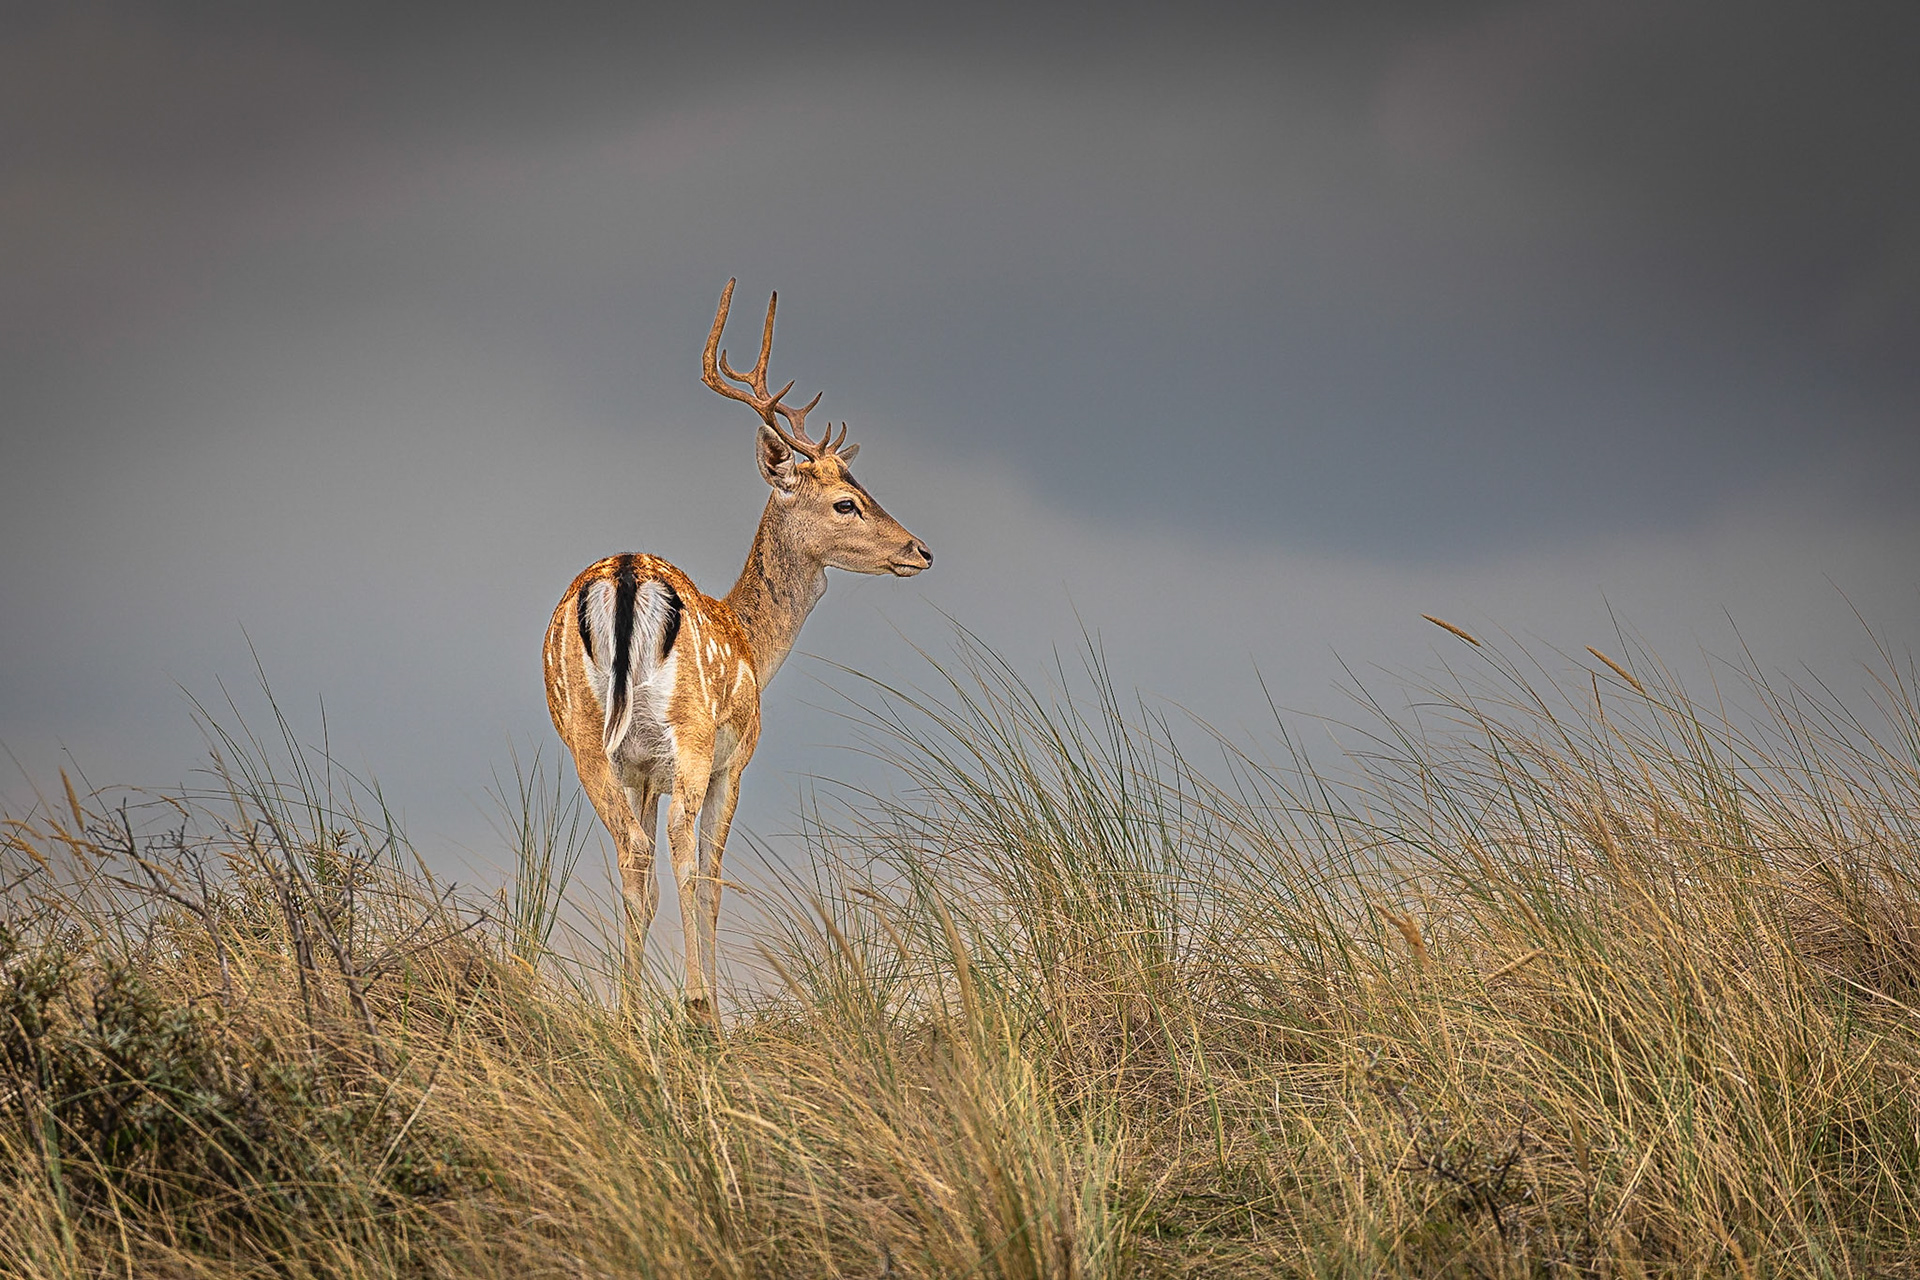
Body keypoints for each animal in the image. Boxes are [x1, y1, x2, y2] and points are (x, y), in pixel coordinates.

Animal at [543, 280, 933, 1024]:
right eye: (846, 503)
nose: (921, 549)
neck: (752, 639)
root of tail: (626, 575)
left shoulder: (642, 773)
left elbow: (646, 879)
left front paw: (638, 1010)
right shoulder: (736, 757)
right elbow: (714, 876)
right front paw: (706, 1006)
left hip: (586, 739)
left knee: (632, 852)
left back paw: (631, 1013)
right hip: (692, 733)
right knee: (679, 851)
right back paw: (696, 1004)